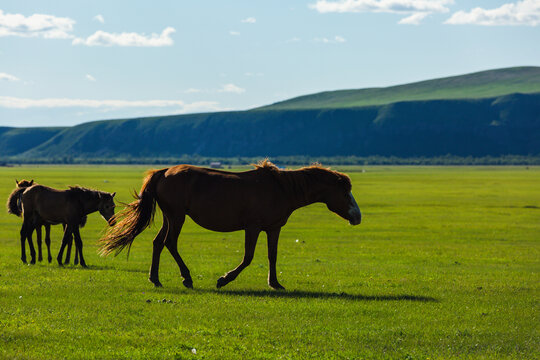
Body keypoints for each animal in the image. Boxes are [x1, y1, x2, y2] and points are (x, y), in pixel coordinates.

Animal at [100, 160, 362, 290]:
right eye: (345, 192)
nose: (358, 217)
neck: (281, 188)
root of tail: (163, 172)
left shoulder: (273, 228)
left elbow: (272, 256)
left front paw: (275, 283)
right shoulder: (253, 227)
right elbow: (248, 258)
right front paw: (224, 279)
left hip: (170, 216)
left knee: (158, 243)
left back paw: (155, 279)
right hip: (177, 217)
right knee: (170, 243)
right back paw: (187, 278)